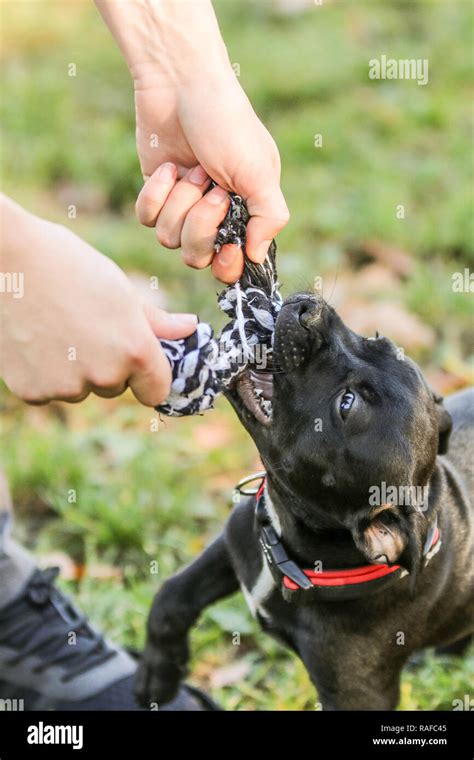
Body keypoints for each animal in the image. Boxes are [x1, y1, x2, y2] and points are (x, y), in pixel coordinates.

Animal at [135, 294, 472, 708]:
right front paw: (158, 675)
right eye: (379, 341)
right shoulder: (235, 542)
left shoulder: (357, 695)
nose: (308, 308)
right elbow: (173, 595)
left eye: (346, 404)